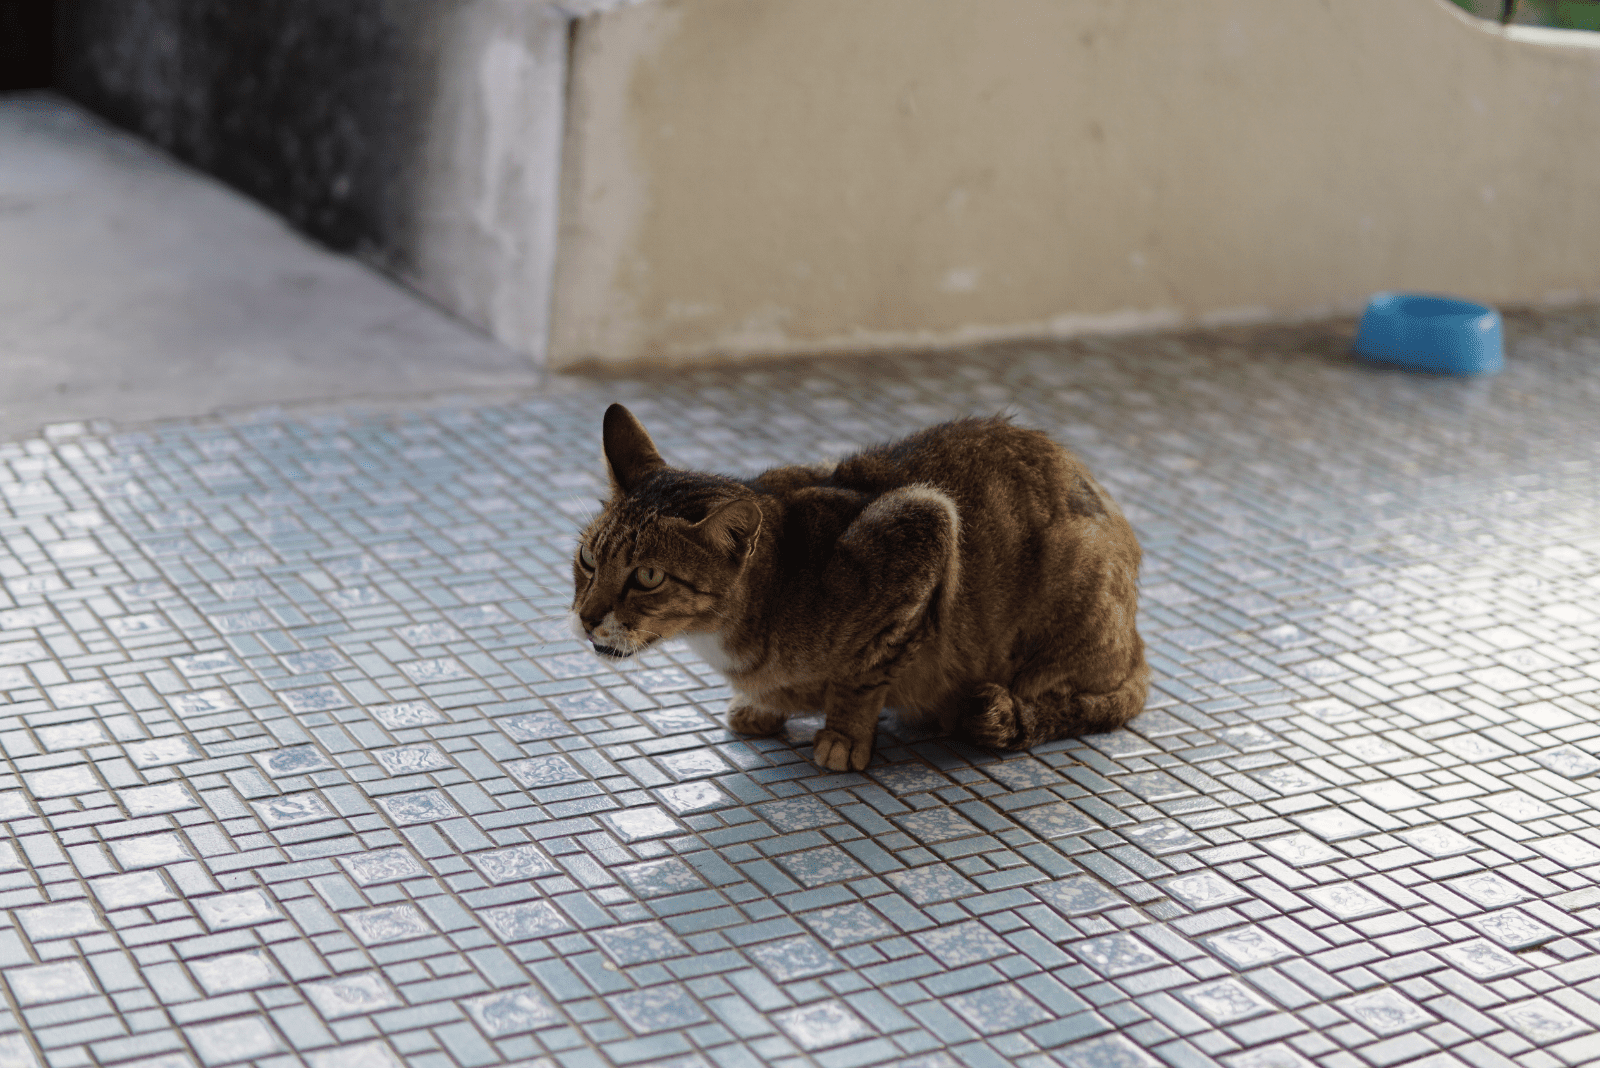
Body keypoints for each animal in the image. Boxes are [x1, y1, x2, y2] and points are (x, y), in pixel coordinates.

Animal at [569, 404, 1145, 770]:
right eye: (588, 559)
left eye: (648, 576)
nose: (586, 617)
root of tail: (1138, 644)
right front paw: (764, 707)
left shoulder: (926, 522)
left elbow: (864, 673)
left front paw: (844, 735)